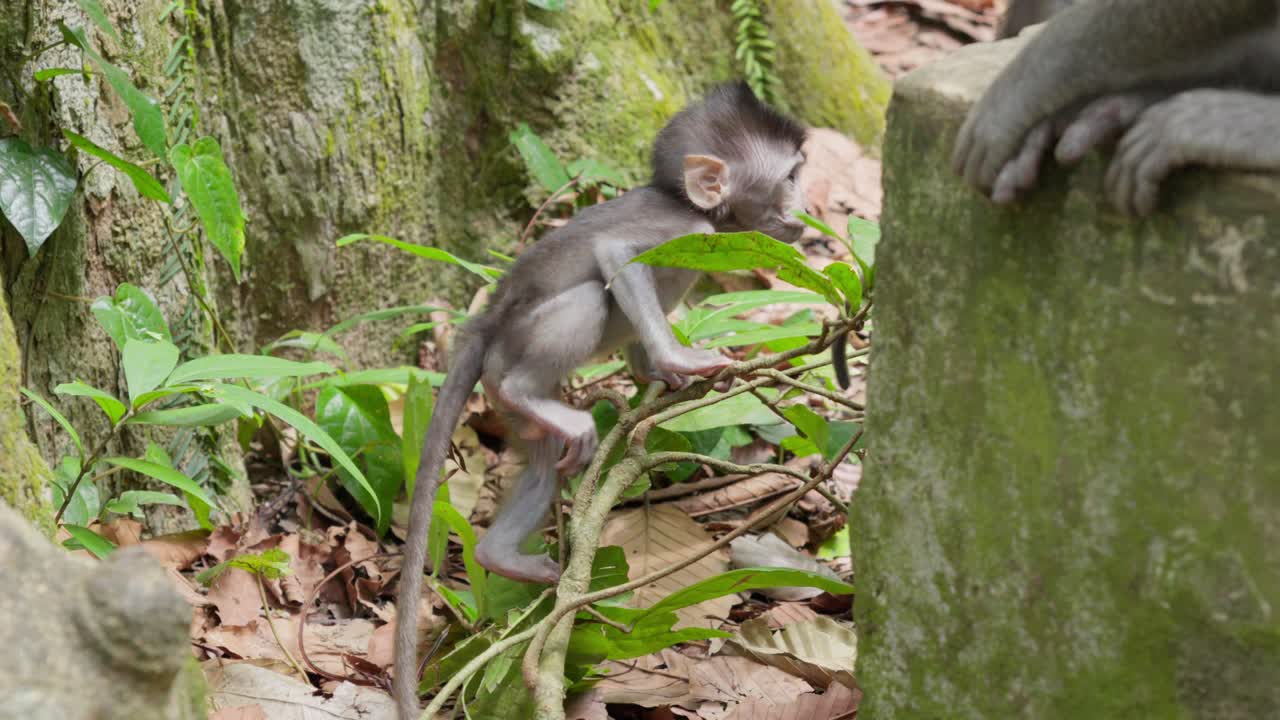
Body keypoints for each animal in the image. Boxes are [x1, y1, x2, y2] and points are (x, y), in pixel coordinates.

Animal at [392, 82, 808, 719]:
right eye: (789, 176)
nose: (804, 205)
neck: (700, 210)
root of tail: (485, 322)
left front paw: (667, 375)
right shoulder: (685, 229)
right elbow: (620, 258)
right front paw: (682, 361)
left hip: (502, 398)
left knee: (543, 463)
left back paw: (500, 554)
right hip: (515, 350)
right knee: (590, 295)